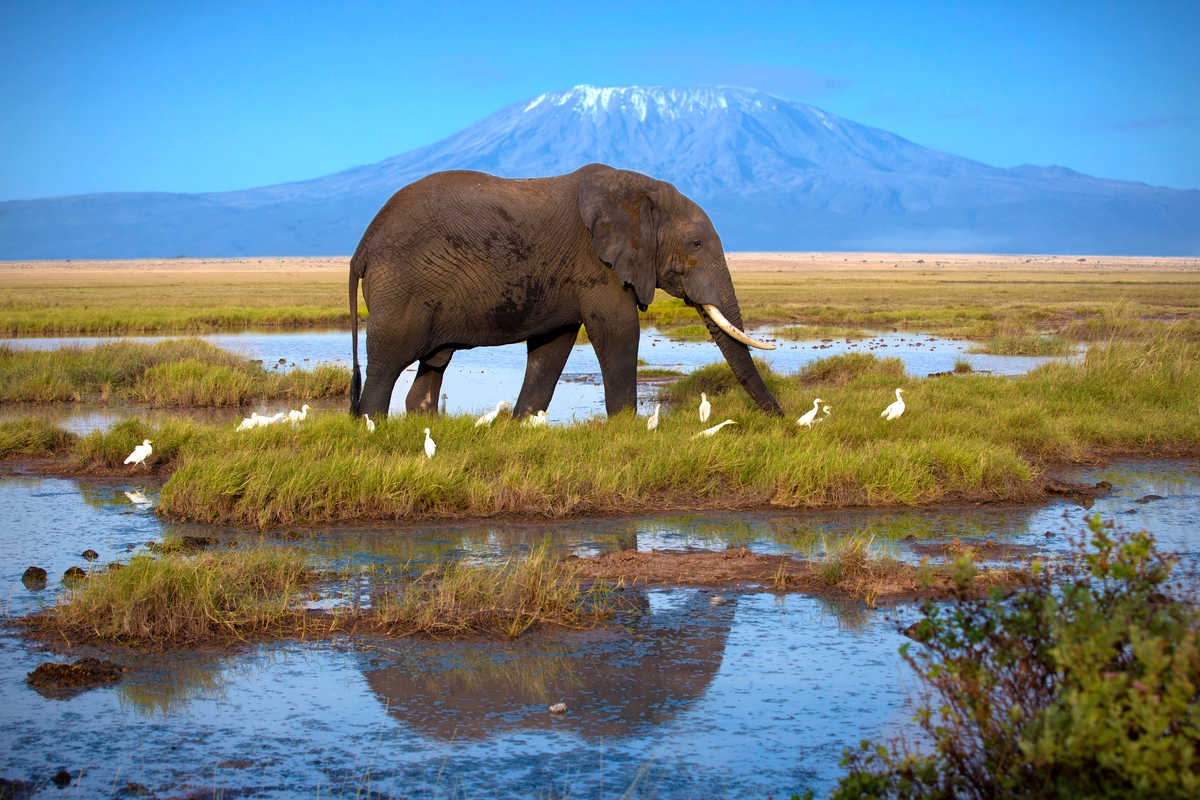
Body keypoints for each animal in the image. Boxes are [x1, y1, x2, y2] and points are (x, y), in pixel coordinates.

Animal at [348, 165, 782, 422]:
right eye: (696, 244)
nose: (782, 421)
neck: (637, 191)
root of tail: (362, 248)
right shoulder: (596, 263)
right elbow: (618, 331)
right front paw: (625, 428)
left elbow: (552, 346)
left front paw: (521, 425)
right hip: (400, 287)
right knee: (386, 363)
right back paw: (374, 427)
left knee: (434, 363)